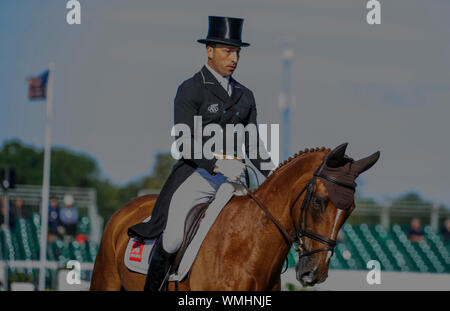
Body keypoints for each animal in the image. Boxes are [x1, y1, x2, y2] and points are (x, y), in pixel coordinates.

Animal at [90, 145, 380, 292]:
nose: (314, 273)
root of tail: (126, 209)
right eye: (319, 201)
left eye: (350, 209)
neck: (249, 248)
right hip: (106, 281)